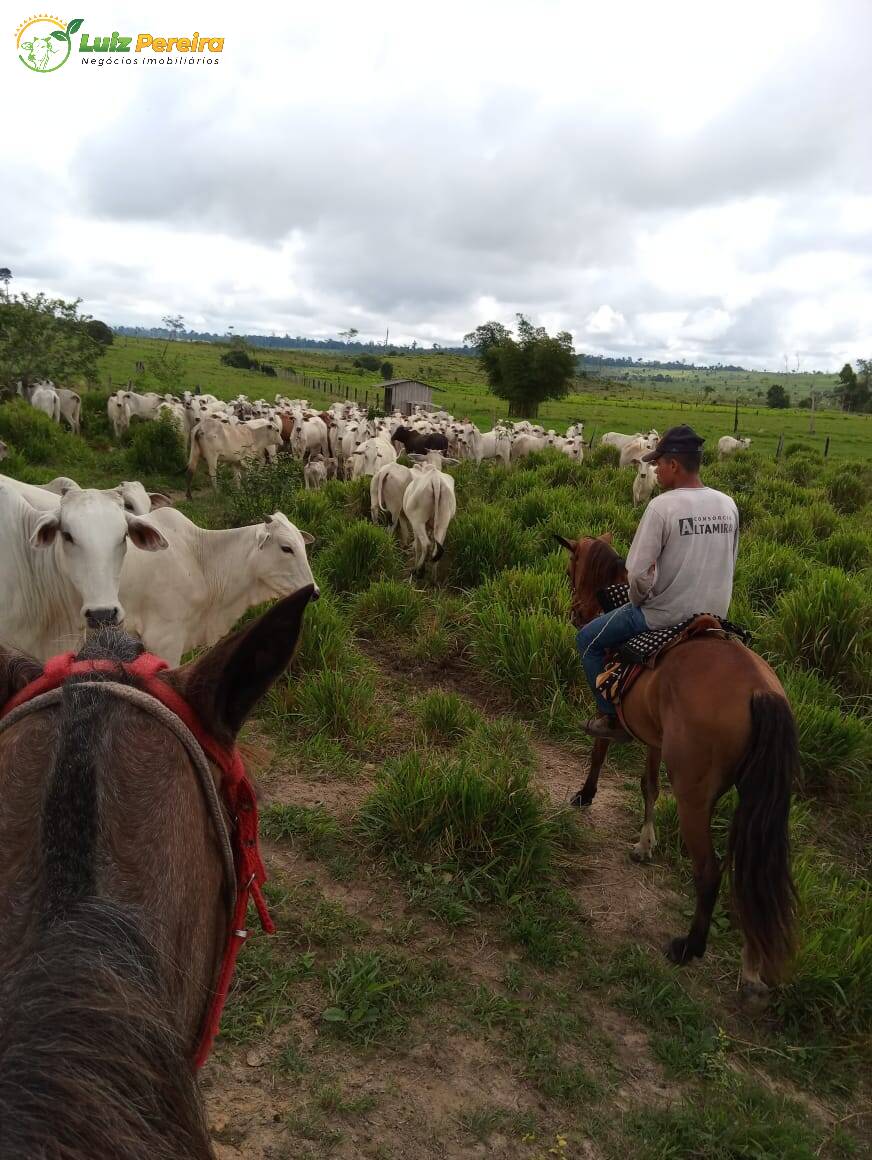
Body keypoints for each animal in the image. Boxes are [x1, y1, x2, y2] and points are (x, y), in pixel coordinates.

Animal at [558, 538, 797, 1002]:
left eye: (571, 567)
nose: (577, 613)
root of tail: (760, 692)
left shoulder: (611, 704)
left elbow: (599, 749)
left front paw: (585, 794)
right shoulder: (652, 736)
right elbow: (648, 785)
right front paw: (644, 843)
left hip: (692, 794)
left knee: (710, 872)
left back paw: (689, 947)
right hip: (753, 798)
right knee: (751, 874)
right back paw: (751, 970)